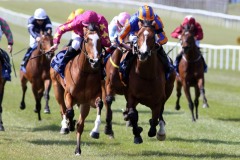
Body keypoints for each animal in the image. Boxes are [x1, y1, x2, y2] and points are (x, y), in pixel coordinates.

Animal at [49, 23, 103, 155]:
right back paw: (65, 126)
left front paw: (95, 131)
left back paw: (78, 149)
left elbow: (99, 104)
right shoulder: (68, 94)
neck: (85, 73)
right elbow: (69, 112)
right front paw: (68, 125)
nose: (95, 61)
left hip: (84, 105)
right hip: (57, 88)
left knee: (80, 125)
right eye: (87, 40)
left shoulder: (89, 100)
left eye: (99, 40)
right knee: (63, 109)